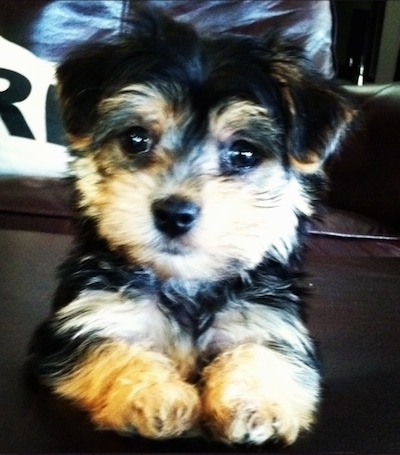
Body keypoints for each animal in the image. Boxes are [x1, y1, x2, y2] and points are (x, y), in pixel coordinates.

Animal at [28, 8, 354, 448]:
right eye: (136, 139)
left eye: (243, 153)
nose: (174, 214)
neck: (187, 284)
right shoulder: (84, 321)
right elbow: (113, 350)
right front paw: (153, 396)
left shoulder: (269, 321)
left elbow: (263, 353)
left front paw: (255, 404)